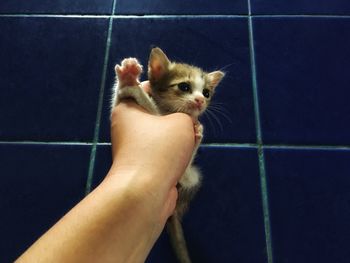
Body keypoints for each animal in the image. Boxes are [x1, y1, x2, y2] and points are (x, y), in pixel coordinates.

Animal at [112, 48, 224, 263]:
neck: (168, 110)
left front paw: (198, 131)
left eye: (207, 93)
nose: (200, 101)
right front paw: (129, 81)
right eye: (184, 86)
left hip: (192, 176)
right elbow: (138, 102)